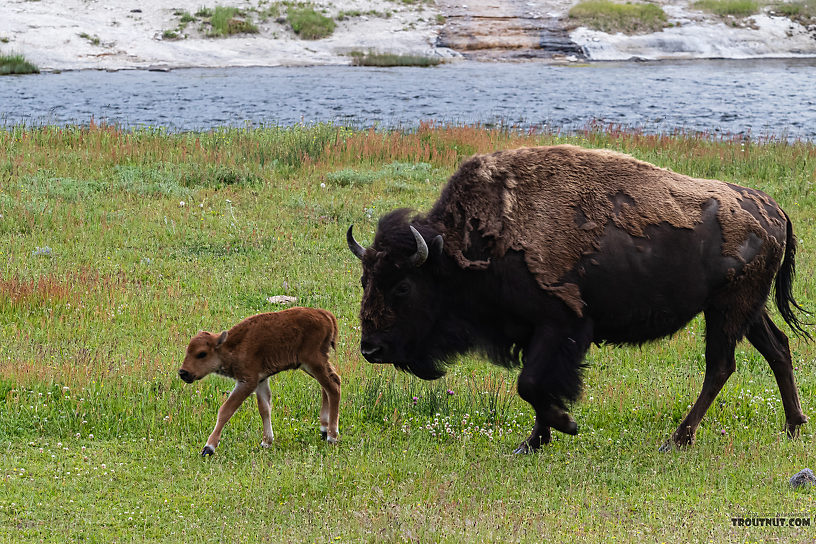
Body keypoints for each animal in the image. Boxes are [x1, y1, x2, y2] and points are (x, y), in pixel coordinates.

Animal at [178, 306, 342, 454]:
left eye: (202, 353)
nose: (183, 372)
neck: (231, 346)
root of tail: (325, 314)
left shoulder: (247, 382)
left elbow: (226, 410)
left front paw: (208, 448)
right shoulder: (261, 380)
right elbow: (264, 409)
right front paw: (266, 442)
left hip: (313, 363)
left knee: (333, 387)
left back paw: (332, 436)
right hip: (311, 365)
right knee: (328, 385)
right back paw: (324, 430)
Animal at [346, 146, 808, 454]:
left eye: (402, 286)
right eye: (365, 280)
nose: (371, 349)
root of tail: (774, 210)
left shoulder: (563, 325)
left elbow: (531, 384)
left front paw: (565, 424)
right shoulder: (534, 333)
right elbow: (533, 387)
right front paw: (532, 443)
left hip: (727, 310)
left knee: (721, 366)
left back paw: (677, 439)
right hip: (746, 309)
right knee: (777, 349)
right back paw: (793, 426)